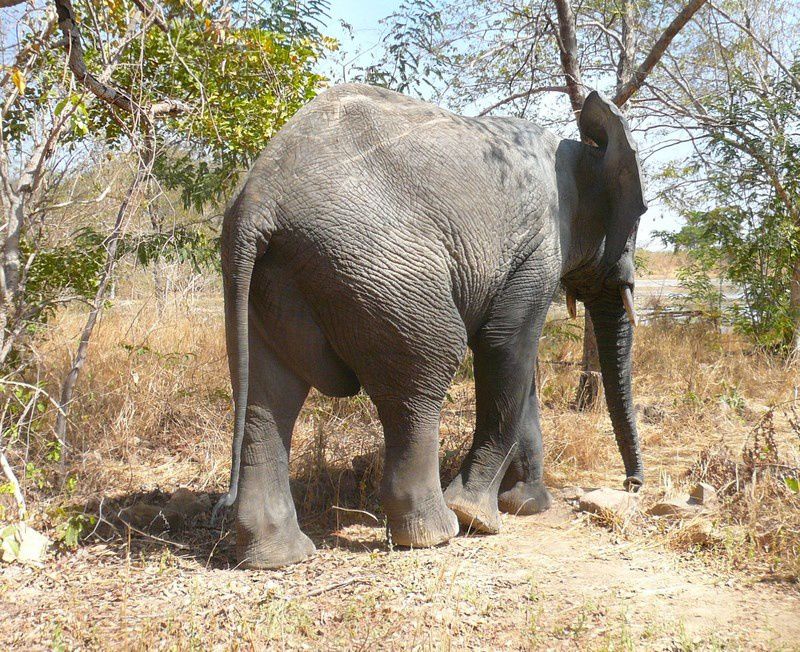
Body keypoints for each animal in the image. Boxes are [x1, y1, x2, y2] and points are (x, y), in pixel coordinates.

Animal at [216, 84, 648, 568]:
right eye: (637, 218)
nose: (632, 484)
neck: (577, 147)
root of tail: (258, 202)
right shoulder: (538, 246)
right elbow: (505, 348)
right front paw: (480, 518)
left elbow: (523, 372)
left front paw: (526, 506)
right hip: (381, 271)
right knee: (426, 373)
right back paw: (436, 533)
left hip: (275, 279)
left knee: (268, 395)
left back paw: (278, 557)